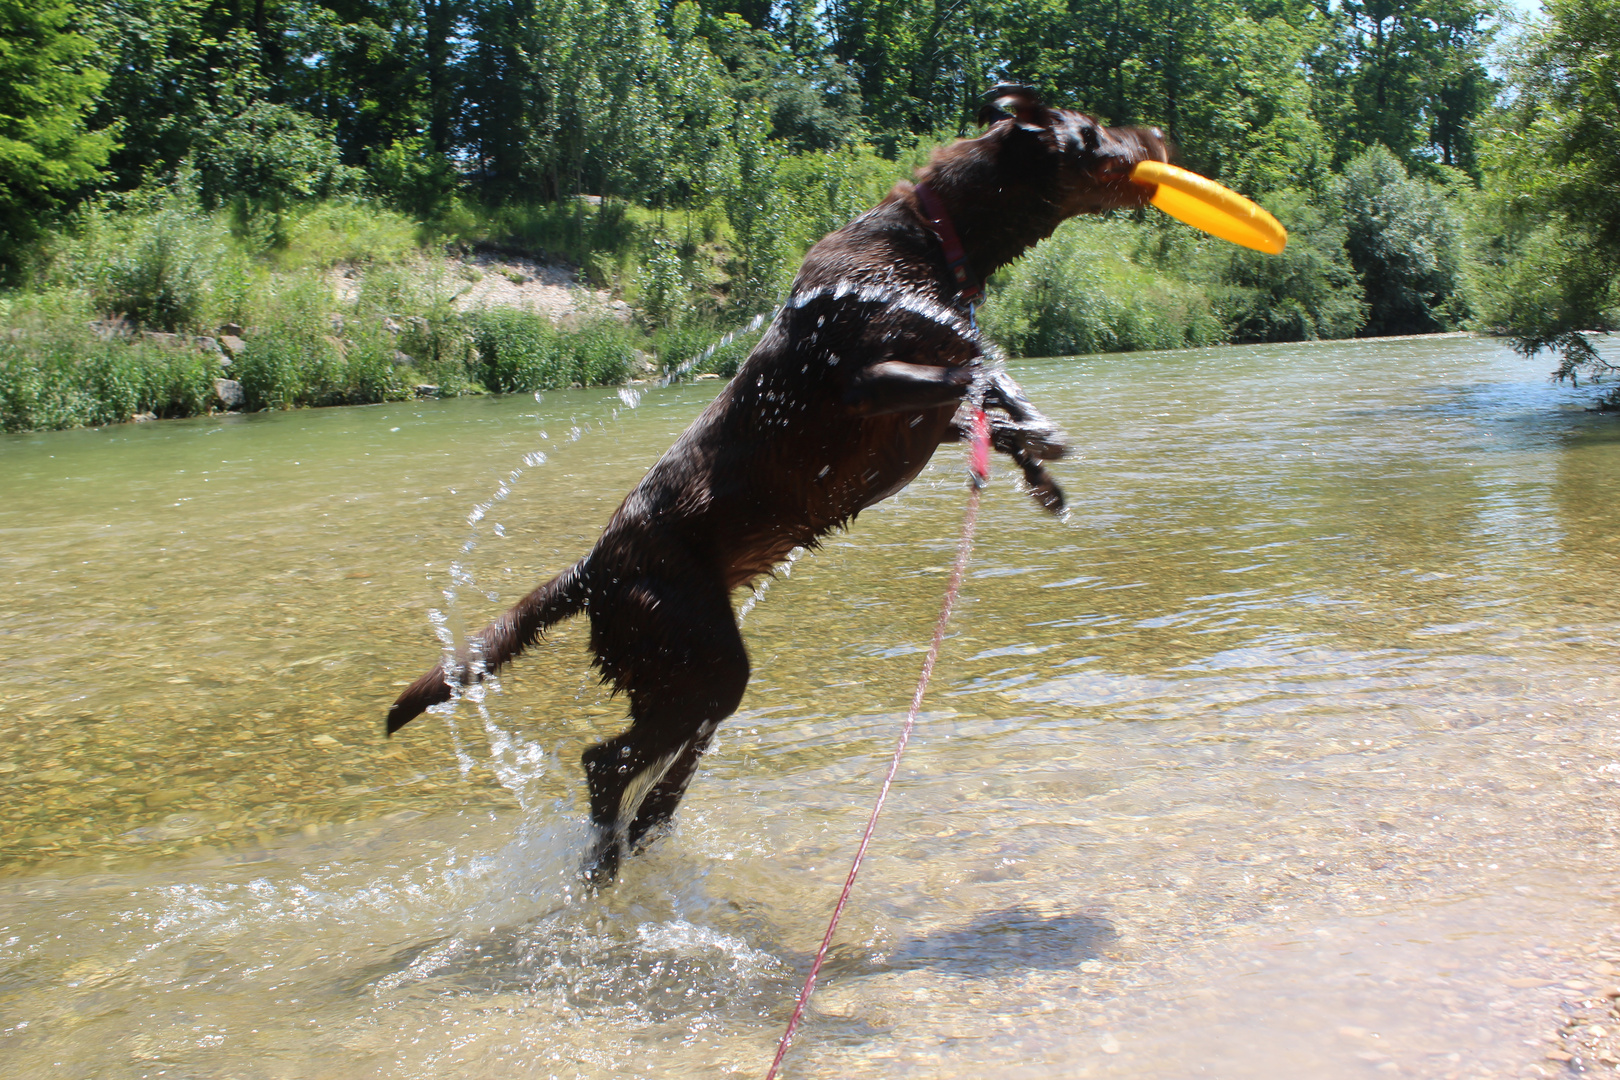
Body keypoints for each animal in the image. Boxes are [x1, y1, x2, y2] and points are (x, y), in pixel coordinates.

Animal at [388, 86, 1166, 887]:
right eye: (1093, 132)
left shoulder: (919, 423)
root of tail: (591, 569)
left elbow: (987, 407)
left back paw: (644, 834)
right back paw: (605, 863)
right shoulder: (866, 381)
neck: (933, 240)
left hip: (687, 675)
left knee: (657, 767)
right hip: (692, 650)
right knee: (605, 761)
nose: (1159, 135)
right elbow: (974, 365)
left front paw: (1042, 468)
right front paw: (1033, 425)